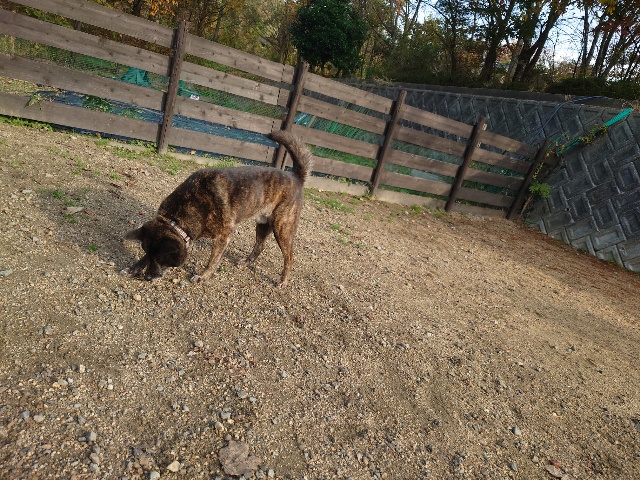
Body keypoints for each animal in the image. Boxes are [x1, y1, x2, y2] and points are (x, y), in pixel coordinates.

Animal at [120, 130, 312, 286]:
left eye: (161, 259)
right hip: (263, 224)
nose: (147, 278)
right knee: (260, 246)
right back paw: (247, 262)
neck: (180, 216)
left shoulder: (223, 236)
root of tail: (296, 176)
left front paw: (202, 277)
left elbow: (212, 261)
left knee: (290, 257)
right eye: (147, 254)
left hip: (282, 228)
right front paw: (133, 268)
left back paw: (283, 281)